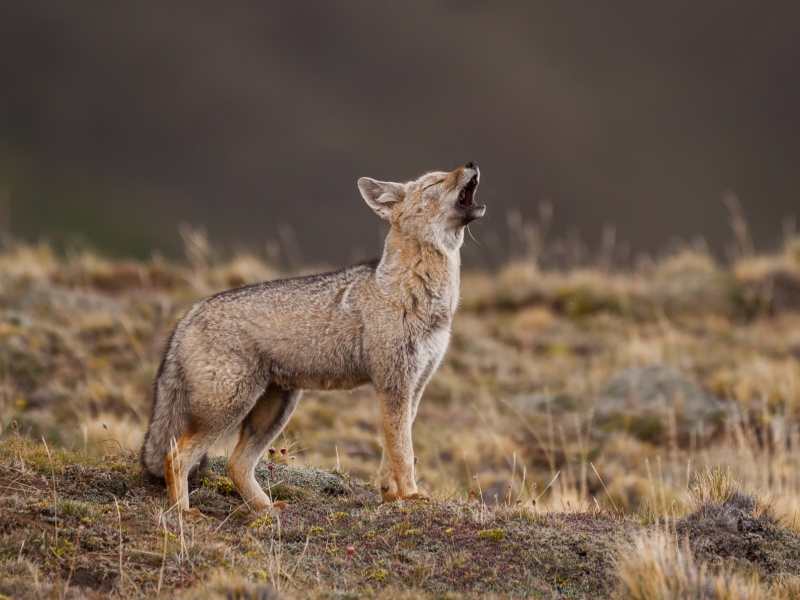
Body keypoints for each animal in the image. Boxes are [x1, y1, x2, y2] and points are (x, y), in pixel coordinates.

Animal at [141, 161, 484, 516]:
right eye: (436, 182)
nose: (471, 163)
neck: (421, 297)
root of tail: (190, 313)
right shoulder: (394, 386)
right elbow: (403, 453)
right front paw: (410, 496)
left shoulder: (414, 387)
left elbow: (393, 452)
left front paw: (392, 496)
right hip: (228, 408)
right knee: (175, 457)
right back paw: (182, 513)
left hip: (276, 409)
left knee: (236, 464)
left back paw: (266, 510)